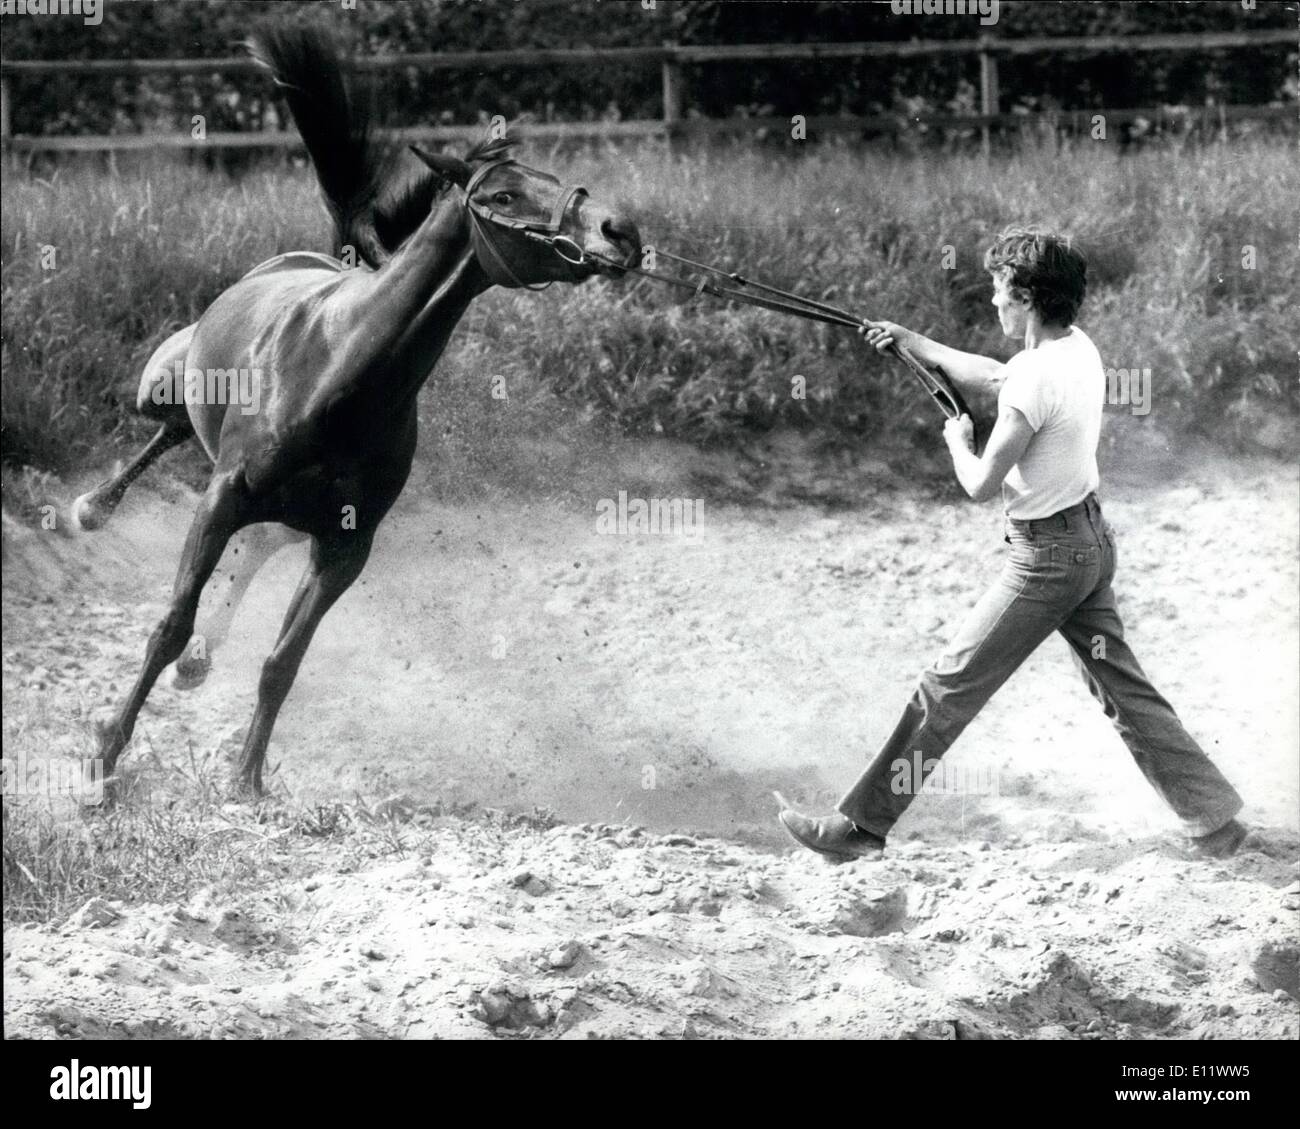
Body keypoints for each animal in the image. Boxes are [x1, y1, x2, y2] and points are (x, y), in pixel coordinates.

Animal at [79, 28, 639, 801]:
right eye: (504, 193)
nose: (621, 230)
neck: (336, 371)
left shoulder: (345, 547)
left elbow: (283, 662)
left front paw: (246, 780)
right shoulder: (221, 500)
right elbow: (168, 624)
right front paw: (104, 762)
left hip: (293, 522)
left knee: (259, 549)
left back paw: (202, 659)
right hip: (168, 389)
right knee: (165, 433)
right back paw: (95, 508)